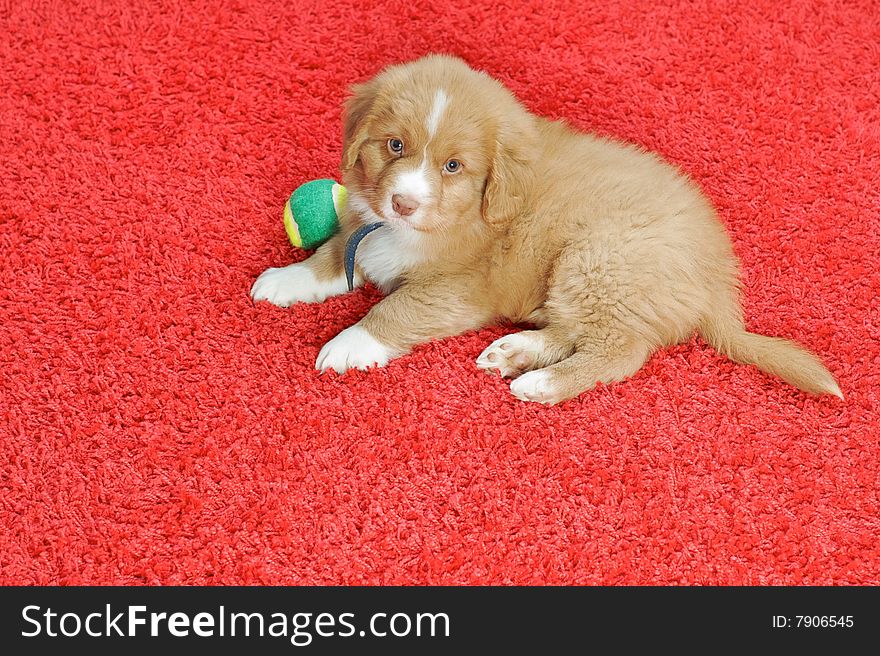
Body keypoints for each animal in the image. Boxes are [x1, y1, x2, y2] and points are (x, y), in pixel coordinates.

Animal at [251, 55, 844, 404]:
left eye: (453, 166)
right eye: (395, 145)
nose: (402, 202)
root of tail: (719, 275)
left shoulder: (457, 290)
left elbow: (395, 308)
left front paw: (349, 344)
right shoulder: (364, 227)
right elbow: (334, 255)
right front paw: (285, 279)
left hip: (599, 259)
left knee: (619, 350)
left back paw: (541, 382)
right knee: (575, 330)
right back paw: (515, 352)